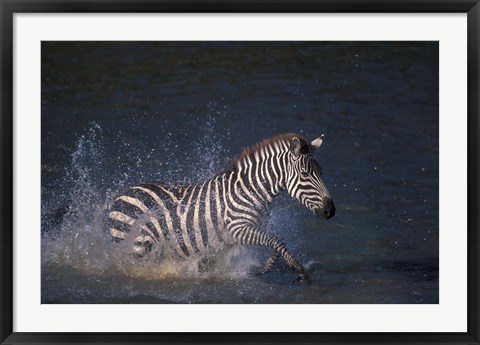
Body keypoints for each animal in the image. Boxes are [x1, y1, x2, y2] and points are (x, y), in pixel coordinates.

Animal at [108, 132, 334, 282]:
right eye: (305, 174)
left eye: (321, 172)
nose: (330, 211)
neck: (249, 191)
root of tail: (122, 194)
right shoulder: (238, 229)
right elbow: (275, 240)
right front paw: (299, 270)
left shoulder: (247, 230)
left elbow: (277, 241)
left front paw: (264, 268)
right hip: (137, 247)